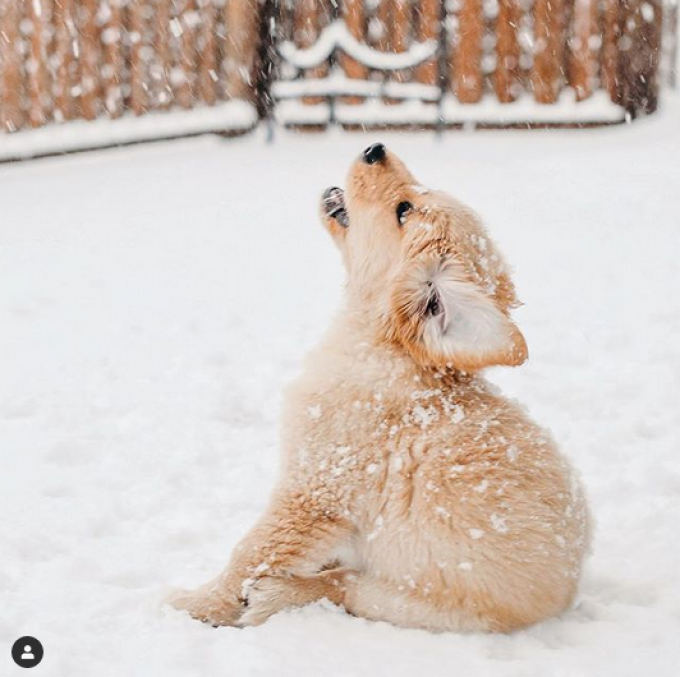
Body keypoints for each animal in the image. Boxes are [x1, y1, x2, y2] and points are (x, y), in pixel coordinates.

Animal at [171, 144, 588, 632]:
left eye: (403, 210)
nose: (375, 148)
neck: (379, 346)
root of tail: (565, 597)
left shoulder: (313, 492)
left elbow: (248, 554)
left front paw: (186, 606)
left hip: (413, 601)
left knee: (346, 587)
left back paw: (279, 594)